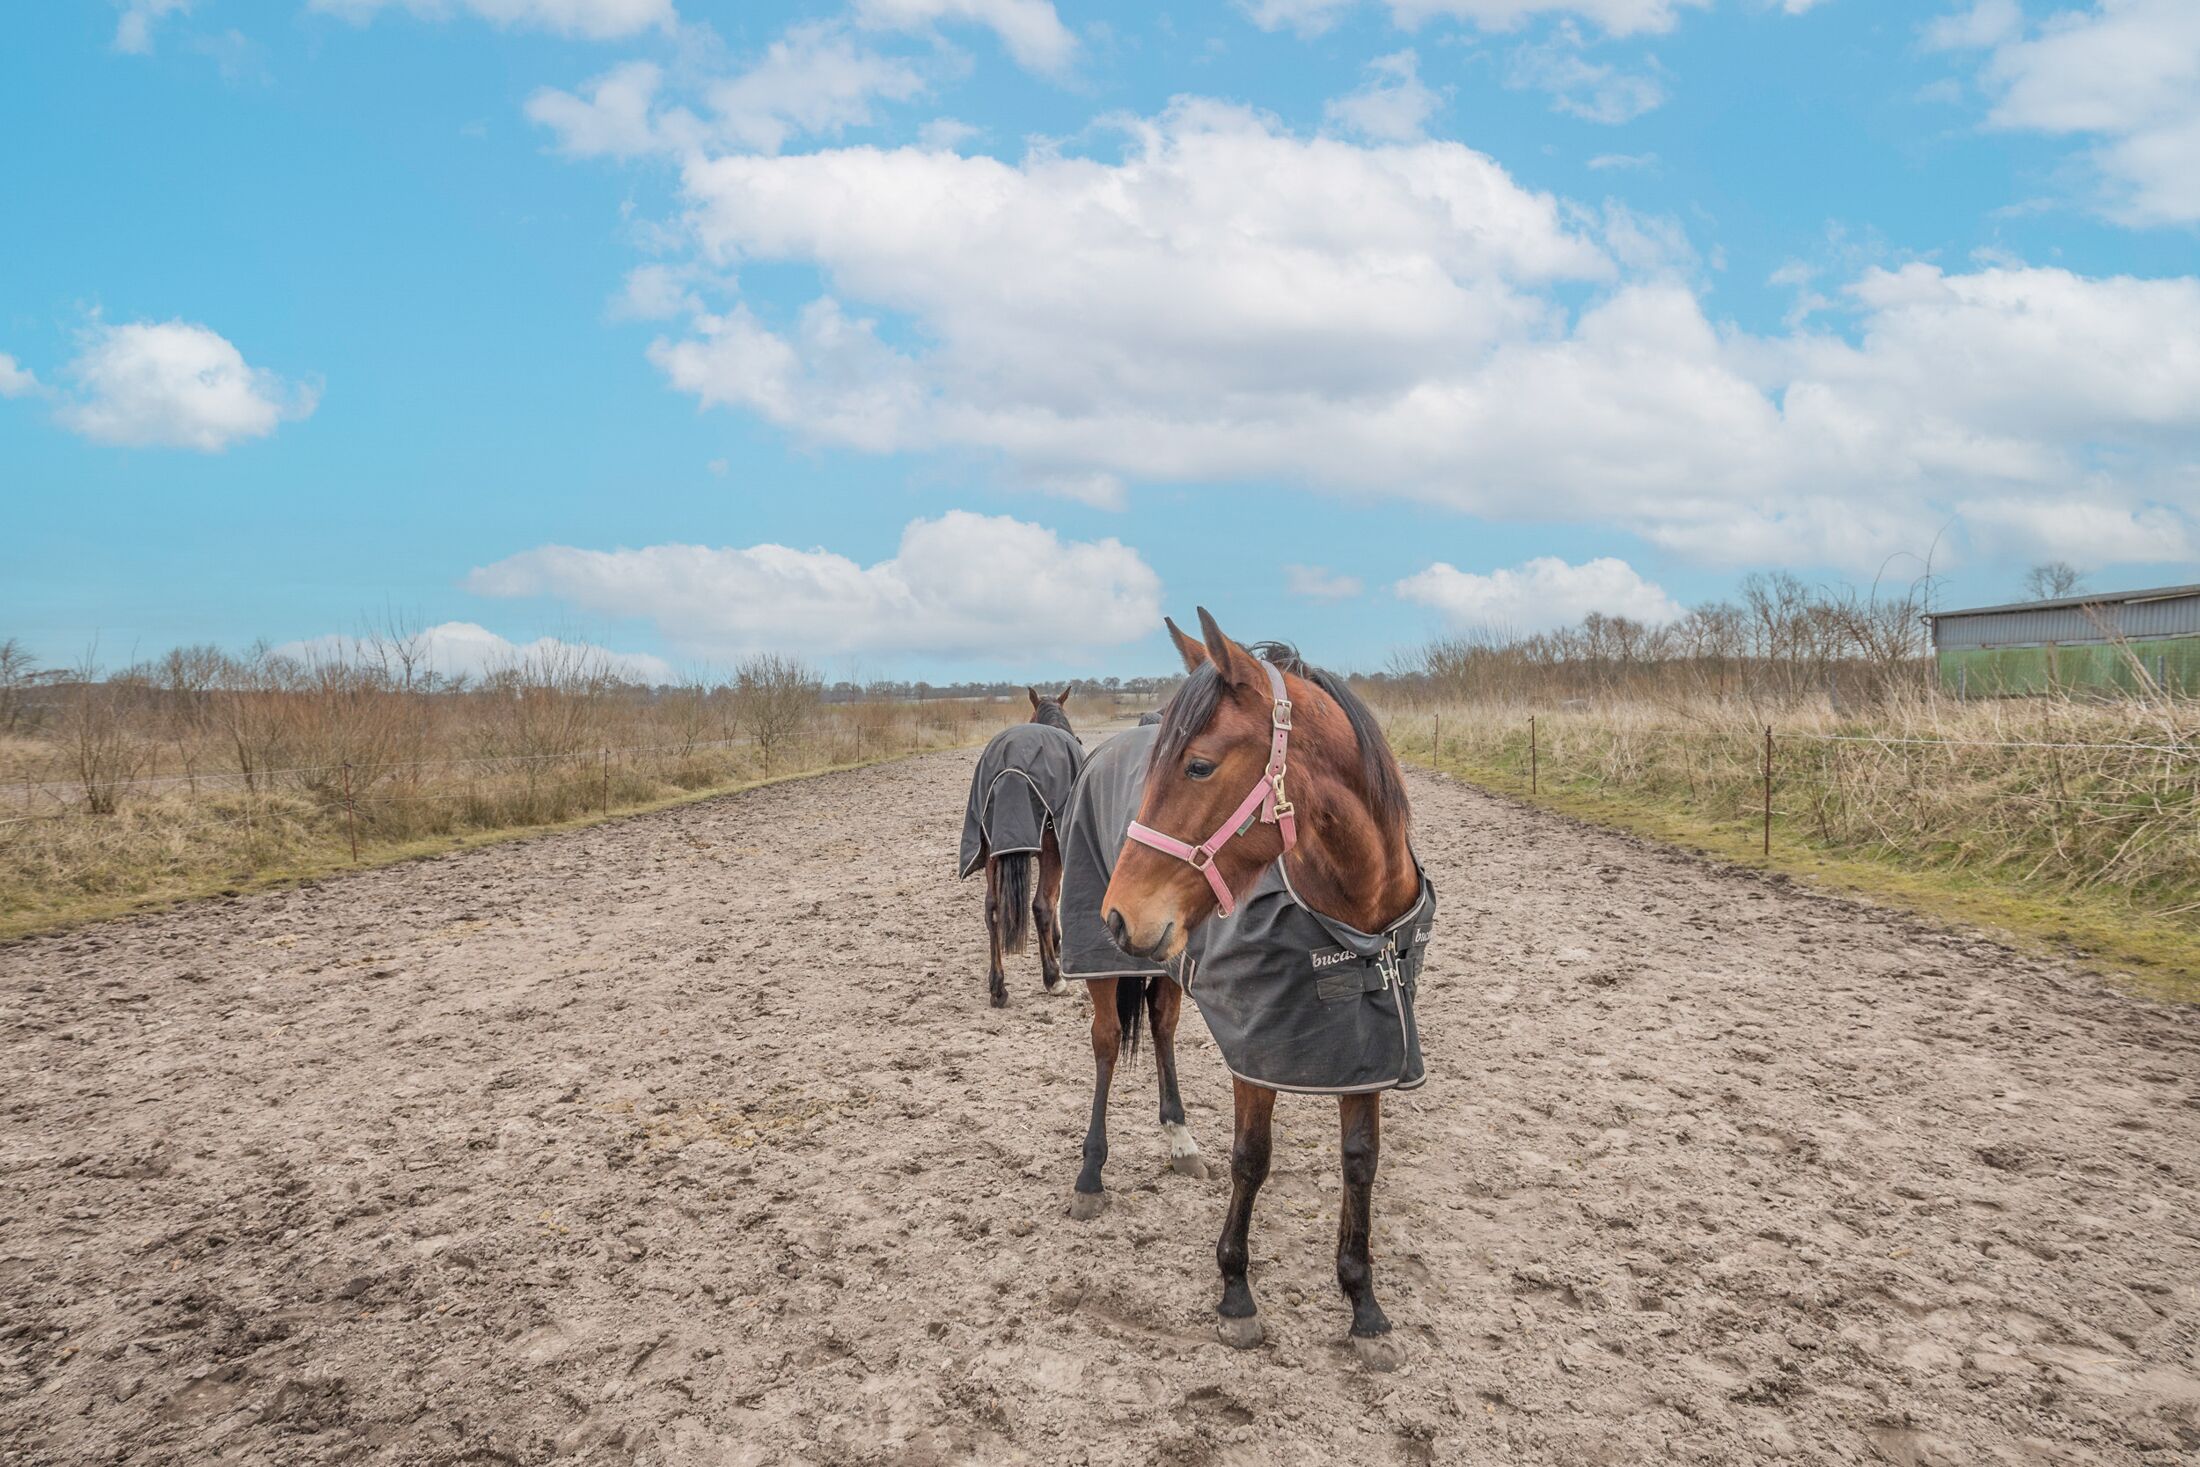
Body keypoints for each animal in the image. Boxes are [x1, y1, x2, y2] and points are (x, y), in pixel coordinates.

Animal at [958, 686, 1080, 1008]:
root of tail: (1010, 766)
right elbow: (1053, 898)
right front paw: (1057, 944)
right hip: (1050, 849)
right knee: (1040, 905)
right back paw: (1053, 978)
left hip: (992, 851)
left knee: (992, 910)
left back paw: (997, 987)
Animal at [1101, 610, 1429, 1372]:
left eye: (1199, 765)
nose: (1120, 915)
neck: (1353, 914)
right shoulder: (1256, 1049)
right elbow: (1252, 1159)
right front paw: (1236, 1293)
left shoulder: (1368, 1048)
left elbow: (1361, 1162)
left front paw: (1364, 1305)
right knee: (1104, 1047)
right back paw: (1087, 1179)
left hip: (1173, 966)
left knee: (1161, 1028)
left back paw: (1179, 1138)